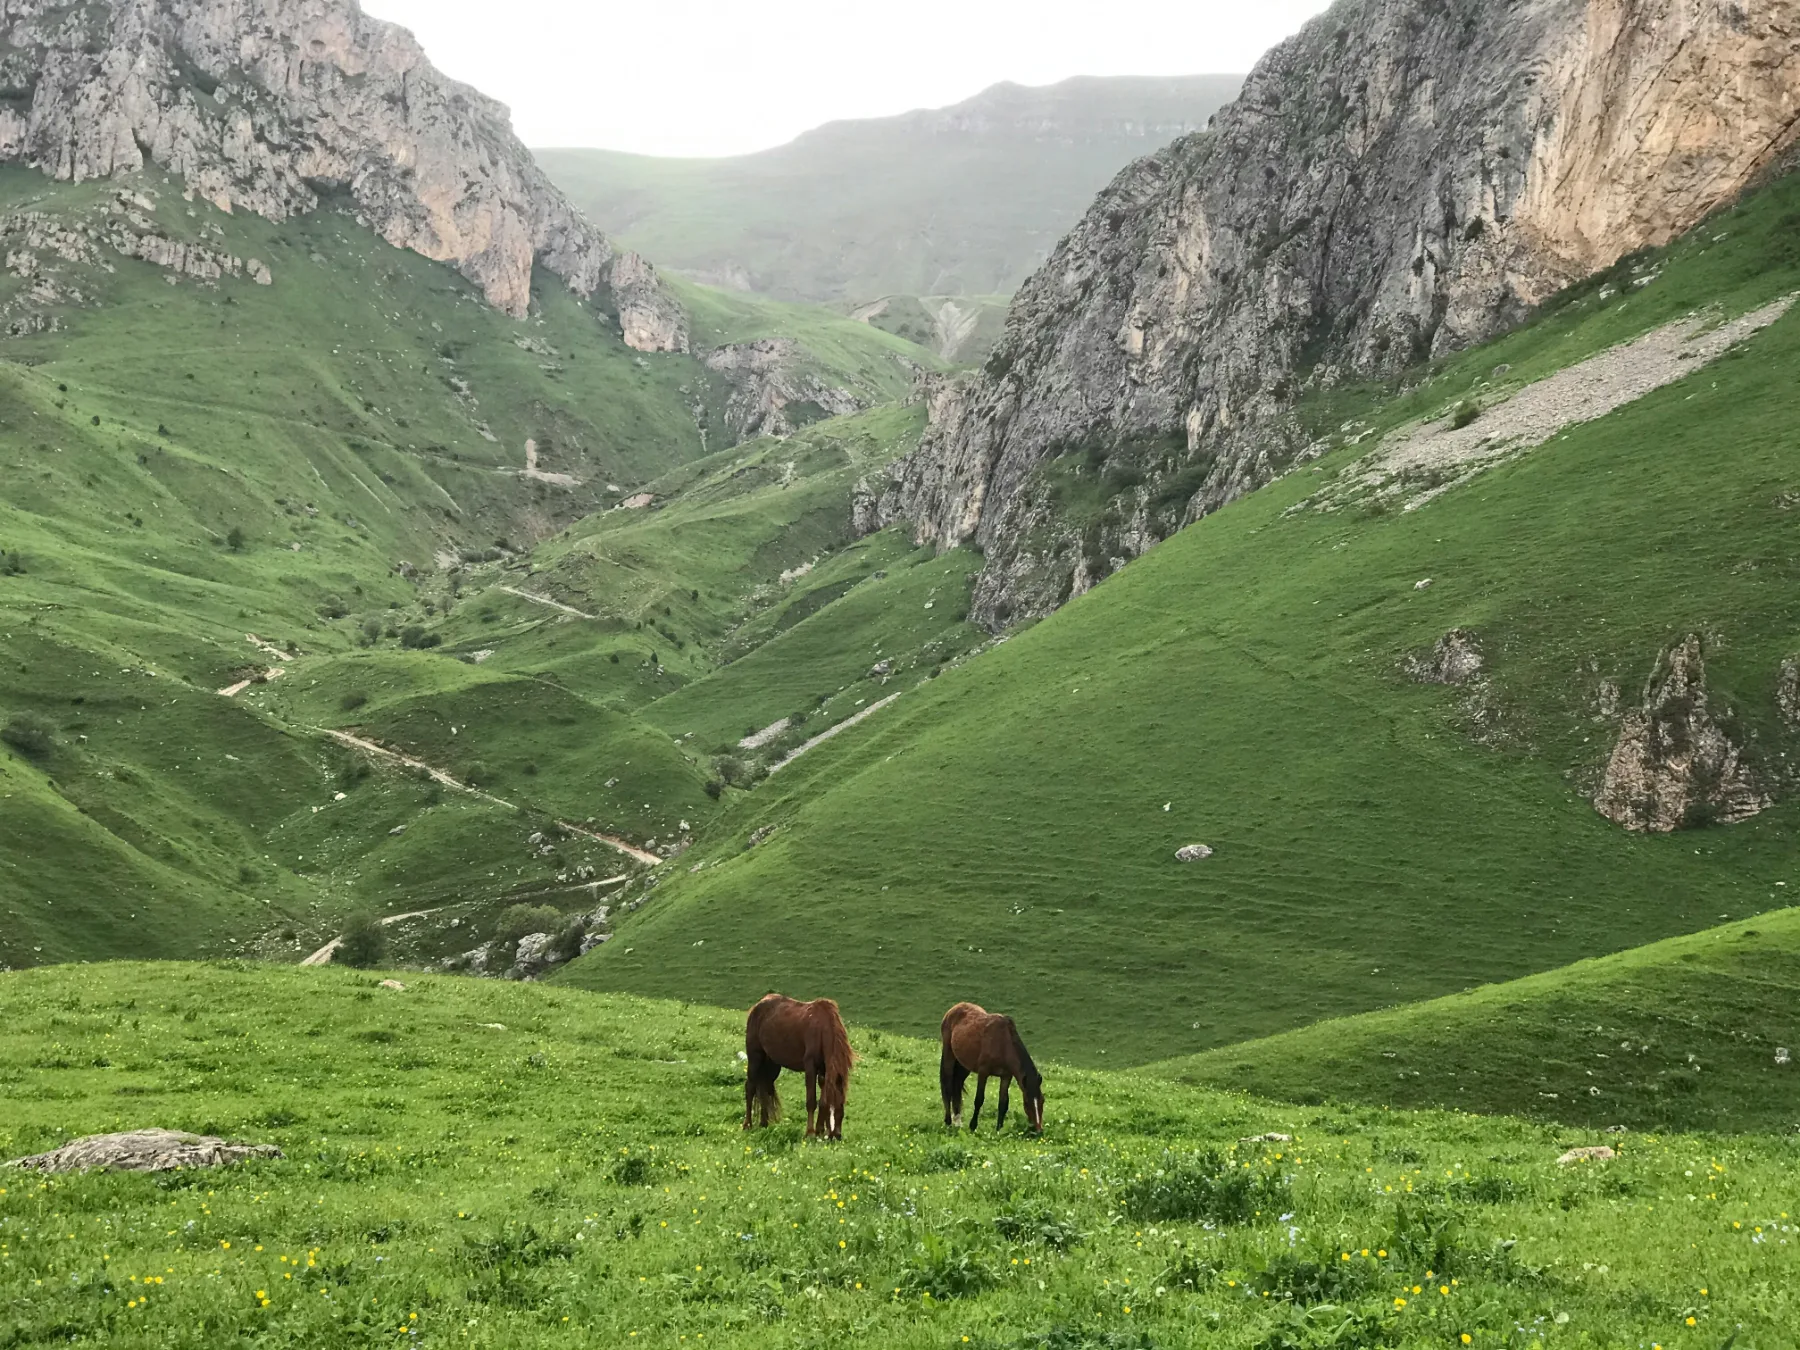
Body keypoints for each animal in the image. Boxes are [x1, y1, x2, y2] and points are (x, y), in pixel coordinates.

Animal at [743, 993, 856, 1139]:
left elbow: (822, 1101)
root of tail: (758, 1004)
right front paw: (810, 1132)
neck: (822, 1029)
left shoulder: (825, 1071)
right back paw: (747, 1125)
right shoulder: (811, 1066)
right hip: (755, 1057)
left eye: (841, 1103)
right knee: (750, 1087)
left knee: (764, 1088)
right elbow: (811, 1101)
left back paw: (764, 1123)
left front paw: (819, 1130)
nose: (835, 1135)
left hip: (772, 1065)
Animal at [940, 1001, 1045, 1133]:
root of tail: (954, 1008)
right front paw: (973, 1126)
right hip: (949, 1056)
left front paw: (998, 1129)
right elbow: (979, 1099)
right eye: (1026, 1102)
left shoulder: (1006, 1076)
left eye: (1043, 1100)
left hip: (964, 1065)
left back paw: (958, 1121)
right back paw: (949, 1121)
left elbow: (1003, 1103)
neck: (1003, 1044)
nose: (1039, 1130)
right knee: (948, 1087)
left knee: (957, 1085)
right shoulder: (983, 1073)